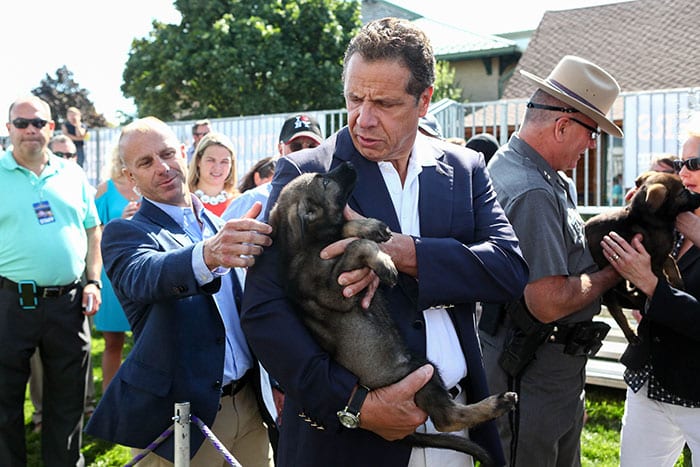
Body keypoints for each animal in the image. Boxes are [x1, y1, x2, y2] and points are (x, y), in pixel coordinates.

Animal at [270, 163, 516, 466]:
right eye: (325, 182)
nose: (349, 165)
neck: (306, 243)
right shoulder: (335, 291)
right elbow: (356, 246)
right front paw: (384, 262)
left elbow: (348, 232)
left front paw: (371, 227)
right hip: (421, 373)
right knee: (446, 418)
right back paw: (499, 402)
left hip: (424, 365)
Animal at [584, 172, 700, 344]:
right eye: (682, 193)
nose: (698, 197)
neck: (648, 219)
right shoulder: (655, 260)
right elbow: (660, 277)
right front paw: (669, 287)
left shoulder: (662, 253)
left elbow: (671, 262)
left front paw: (677, 282)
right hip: (607, 285)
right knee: (616, 310)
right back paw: (631, 332)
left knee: (623, 292)